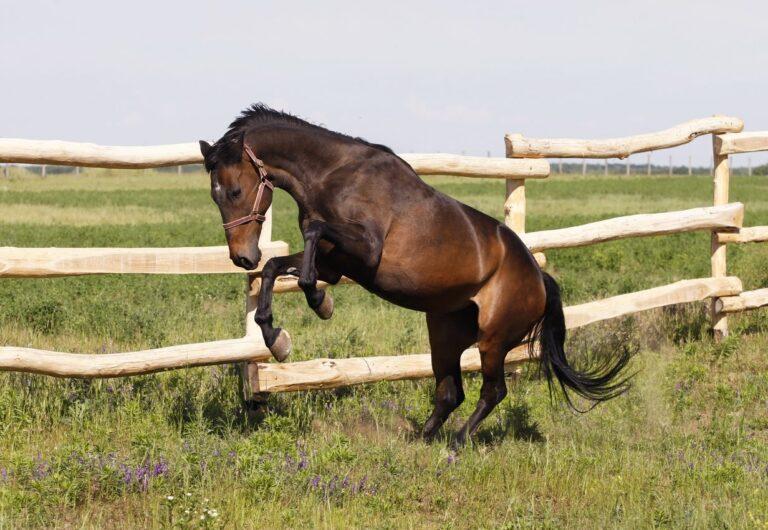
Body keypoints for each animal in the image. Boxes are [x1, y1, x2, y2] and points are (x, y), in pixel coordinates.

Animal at [200, 104, 631, 445]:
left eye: (235, 191)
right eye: (214, 195)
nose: (242, 257)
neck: (335, 175)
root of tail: (540, 281)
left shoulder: (365, 249)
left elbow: (312, 236)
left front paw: (318, 303)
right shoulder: (335, 265)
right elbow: (276, 267)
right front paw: (278, 338)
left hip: (493, 341)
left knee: (493, 392)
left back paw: (456, 443)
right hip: (444, 333)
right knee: (450, 392)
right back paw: (421, 439)